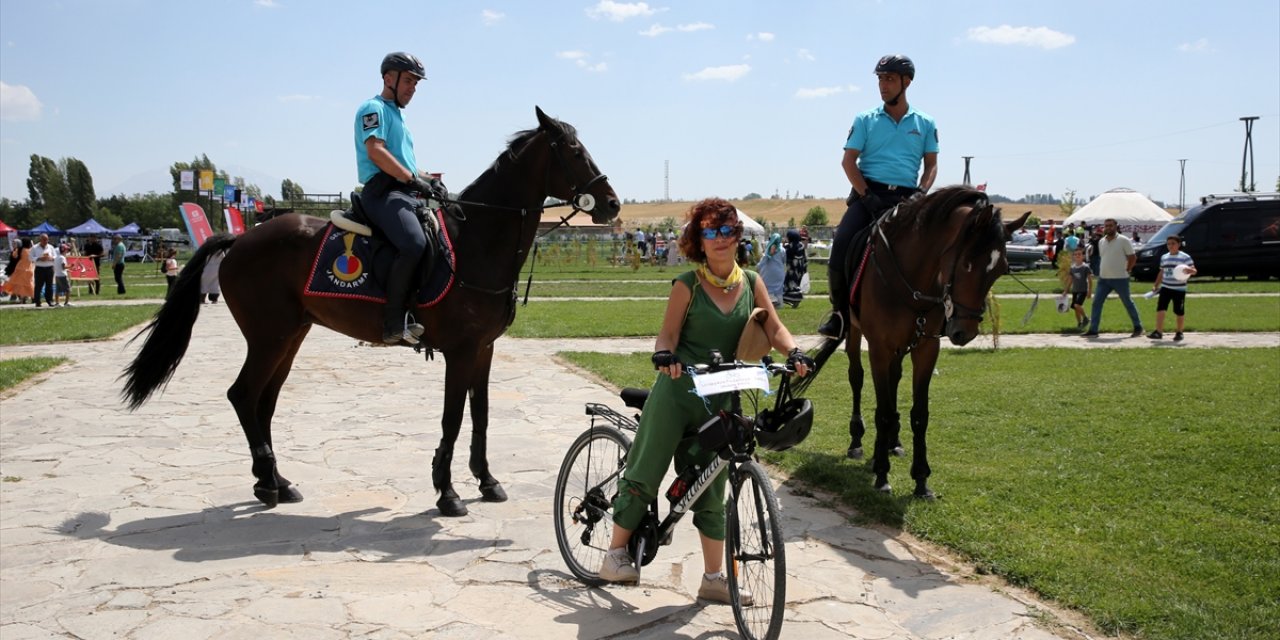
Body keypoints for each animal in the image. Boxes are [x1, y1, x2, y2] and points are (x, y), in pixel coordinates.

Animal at [123, 104, 619, 514]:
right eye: (574, 151)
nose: (612, 203)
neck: (474, 240)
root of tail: (241, 240)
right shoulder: (460, 352)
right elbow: (453, 419)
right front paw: (447, 491)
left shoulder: (483, 349)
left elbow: (480, 415)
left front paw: (486, 481)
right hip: (269, 337)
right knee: (244, 395)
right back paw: (266, 482)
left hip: (289, 337)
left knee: (263, 402)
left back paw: (278, 481)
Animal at [819, 186, 1029, 496]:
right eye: (967, 263)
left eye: (1001, 268)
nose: (965, 332)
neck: (913, 279)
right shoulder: (879, 349)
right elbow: (882, 411)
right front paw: (882, 475)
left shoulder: (927, 349)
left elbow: (919, 413)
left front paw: (920, 479)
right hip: (856, 334)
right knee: (856, 377)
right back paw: (858, 441)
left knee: (894, 380)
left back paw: (892, 442)